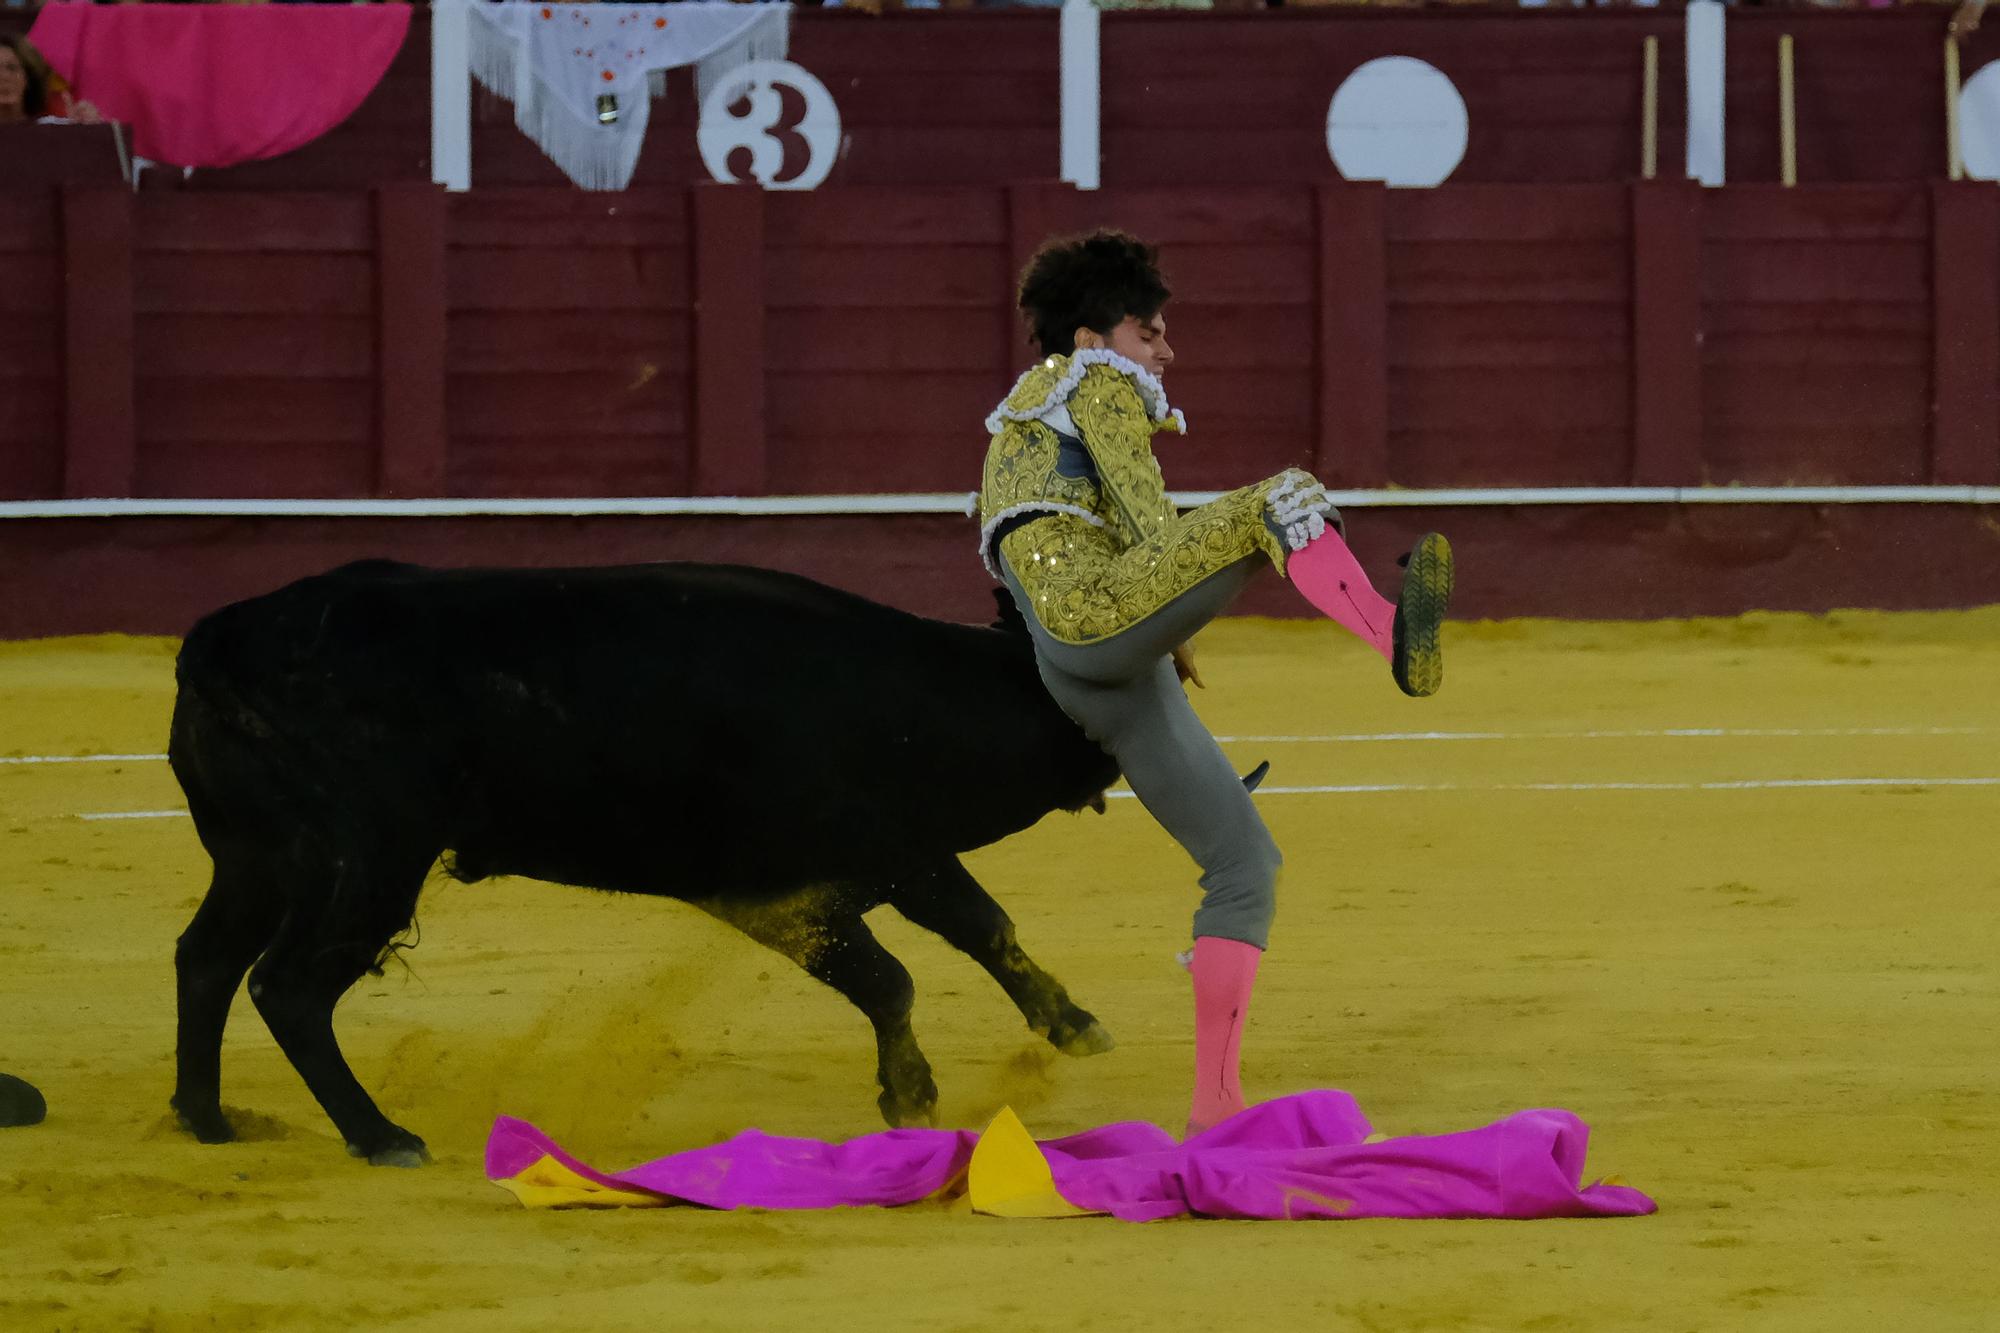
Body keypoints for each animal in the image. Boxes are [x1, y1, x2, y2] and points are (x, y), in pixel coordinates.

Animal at [172, 556, 1216, 1160]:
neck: (912, 699)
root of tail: (217, 641)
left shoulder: (904, 852)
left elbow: (985, 928)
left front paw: (1074, 1025)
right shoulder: (776, 894)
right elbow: (889, 978)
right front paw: (910, 1098)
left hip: (258, 860)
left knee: (207, 959)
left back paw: (207, 1117)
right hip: (368, 862)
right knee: (288, 985)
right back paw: (380, 1134)